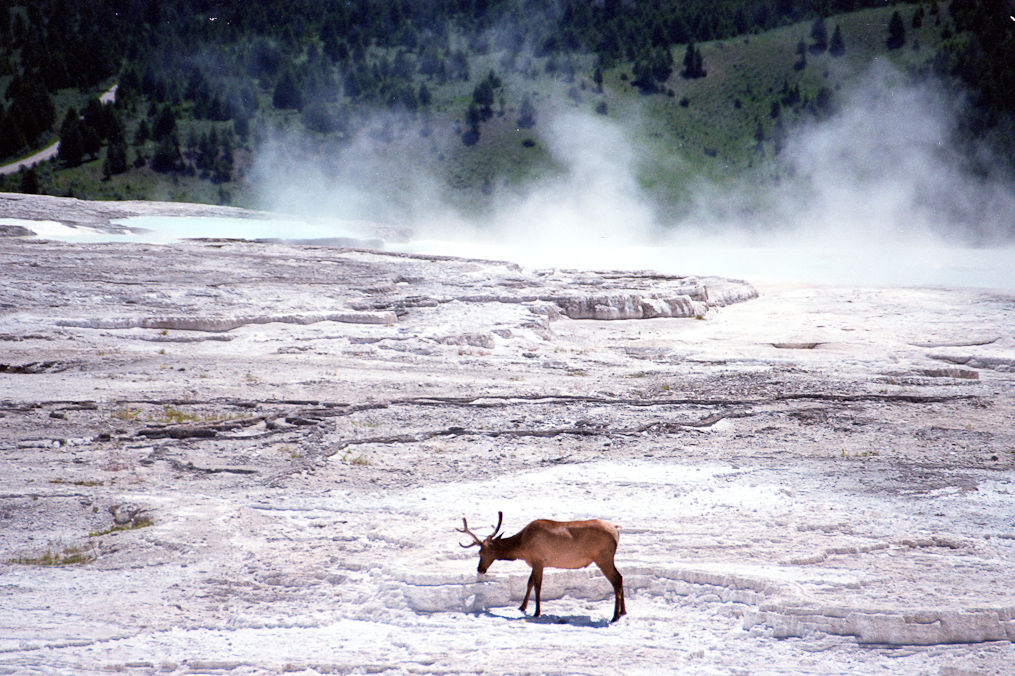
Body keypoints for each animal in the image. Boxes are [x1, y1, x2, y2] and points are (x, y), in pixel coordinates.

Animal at [457, 511, 626, 622]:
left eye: (481, 551)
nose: (480, 569)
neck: (521, 547)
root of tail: (616, 529)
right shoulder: (535, 562)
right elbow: (530, 582)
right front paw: (522, 607)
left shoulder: (539, 560)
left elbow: (538, 585)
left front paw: (537, 611)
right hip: (607, 558)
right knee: (621, 577)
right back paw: (623, 611)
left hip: (603, 558)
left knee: (616, 579)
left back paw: (615, 616)